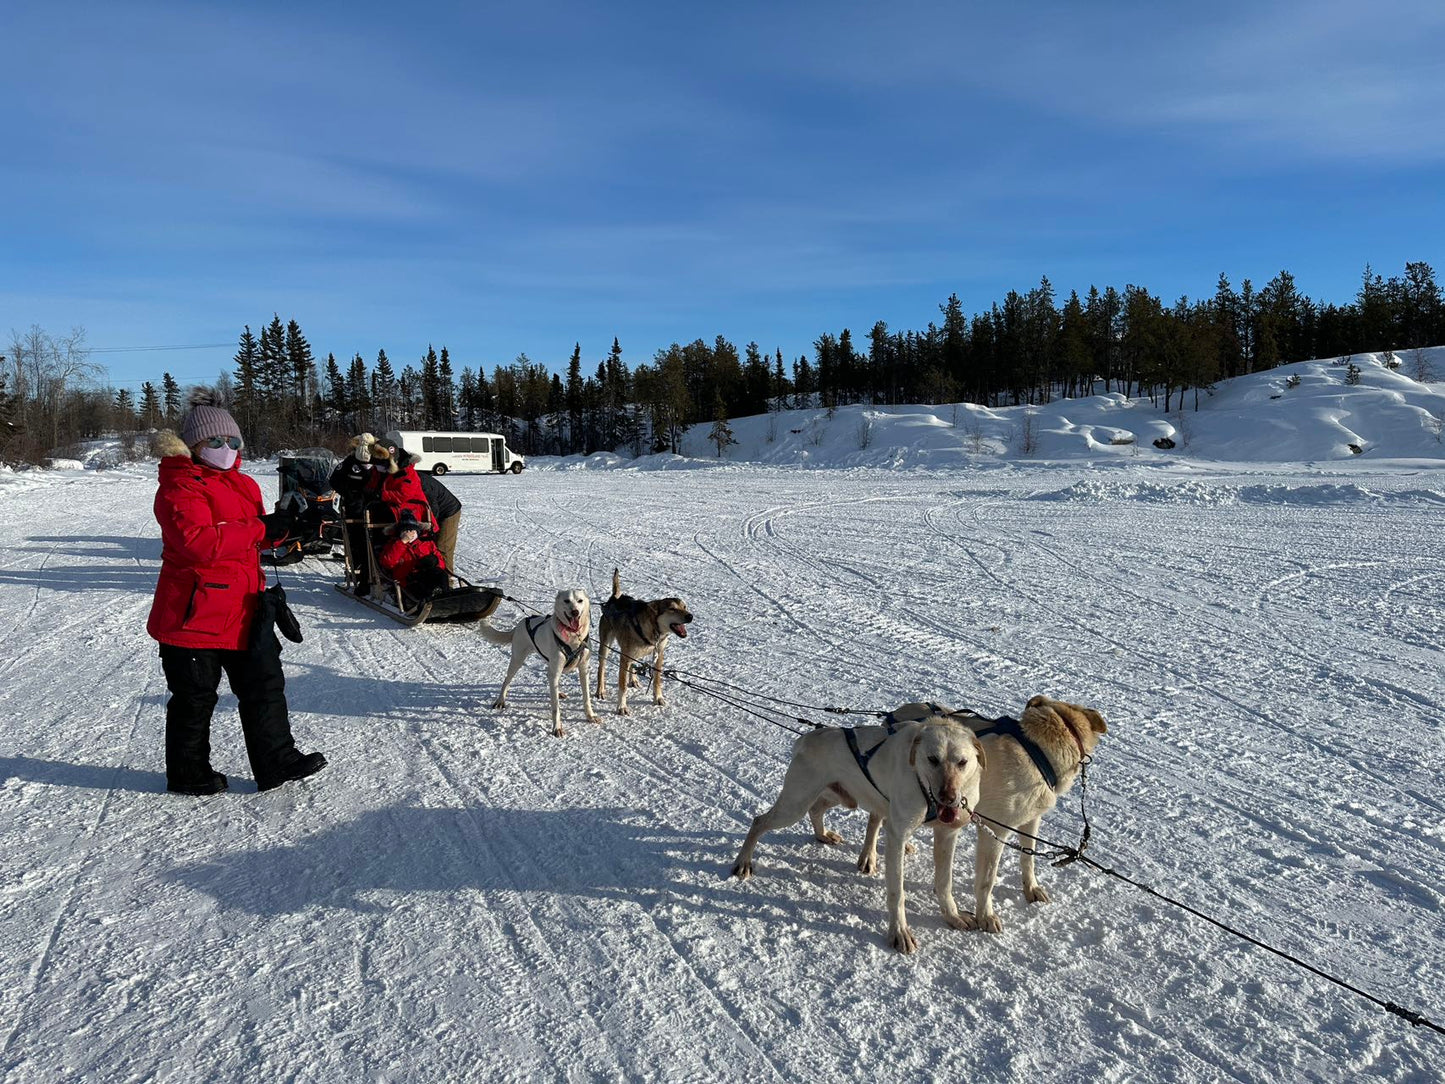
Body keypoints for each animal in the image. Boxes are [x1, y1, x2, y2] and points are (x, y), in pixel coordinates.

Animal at [479, 595, 598, 740]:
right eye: (566, 601)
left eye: (580, 600)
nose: (574, 612)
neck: (573, 638)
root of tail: (520, 623)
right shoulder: (556, 670)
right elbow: (555, 707)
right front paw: (557, 728)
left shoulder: (584, 669)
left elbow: (586, 698)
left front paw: (590, 716)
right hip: (517, 660)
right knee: (507, 680)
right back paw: (500, 700)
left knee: (551, 679)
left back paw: (558, 692)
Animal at [734, 716, 982, 953]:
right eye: (932, 759)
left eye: (962, 762)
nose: (948, 796)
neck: (922, 784)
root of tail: (808, 738)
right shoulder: (897, 836)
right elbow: (897, 892)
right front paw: (899, 932)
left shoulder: (947, 835)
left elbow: (944, 883)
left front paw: (952, 915)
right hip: (794, 806)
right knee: (758, 821)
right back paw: (743, 861)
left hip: (840, 797)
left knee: (816, 810)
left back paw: (823, 834)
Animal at [861, 699, 1109, 936]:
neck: (1037, 753)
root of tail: (895, 714)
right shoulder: (995, 830)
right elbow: (986, 881)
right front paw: (986, 916)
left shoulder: (1031, 821)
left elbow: (1027, 858)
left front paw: (1031, 888)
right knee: (875, 819)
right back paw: (868, 857)